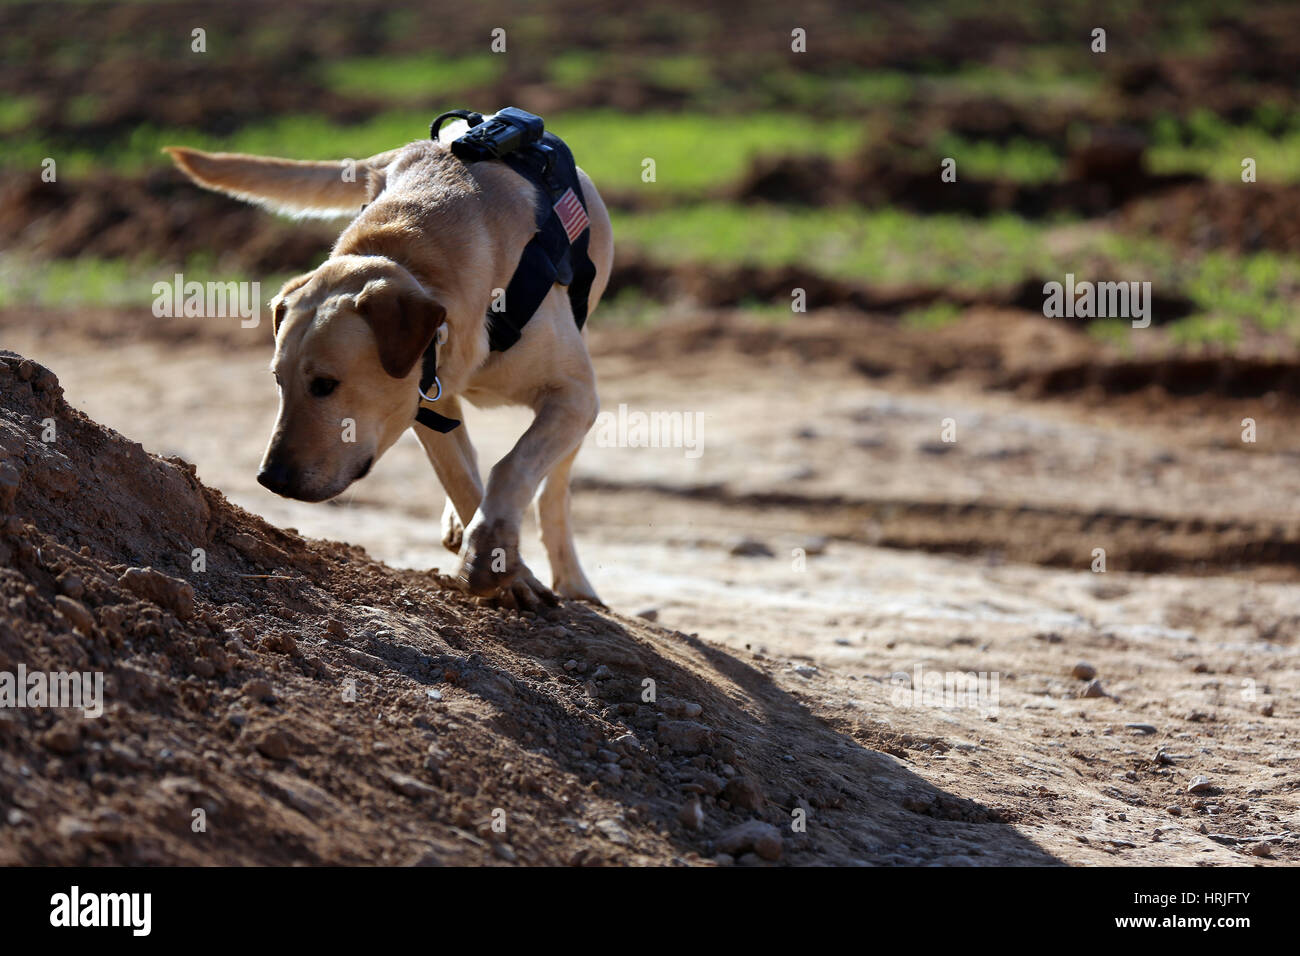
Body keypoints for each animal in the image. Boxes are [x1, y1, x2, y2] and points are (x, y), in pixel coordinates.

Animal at [167, 127, 613, 608]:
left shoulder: (574, 394)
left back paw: (574, 580)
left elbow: (514, 466)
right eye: (278, 382)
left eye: (325, 384)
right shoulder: (424, 397)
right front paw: (506, 570)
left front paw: (491, 547)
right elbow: (462, 479)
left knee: (554, 489)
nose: (270, 479)